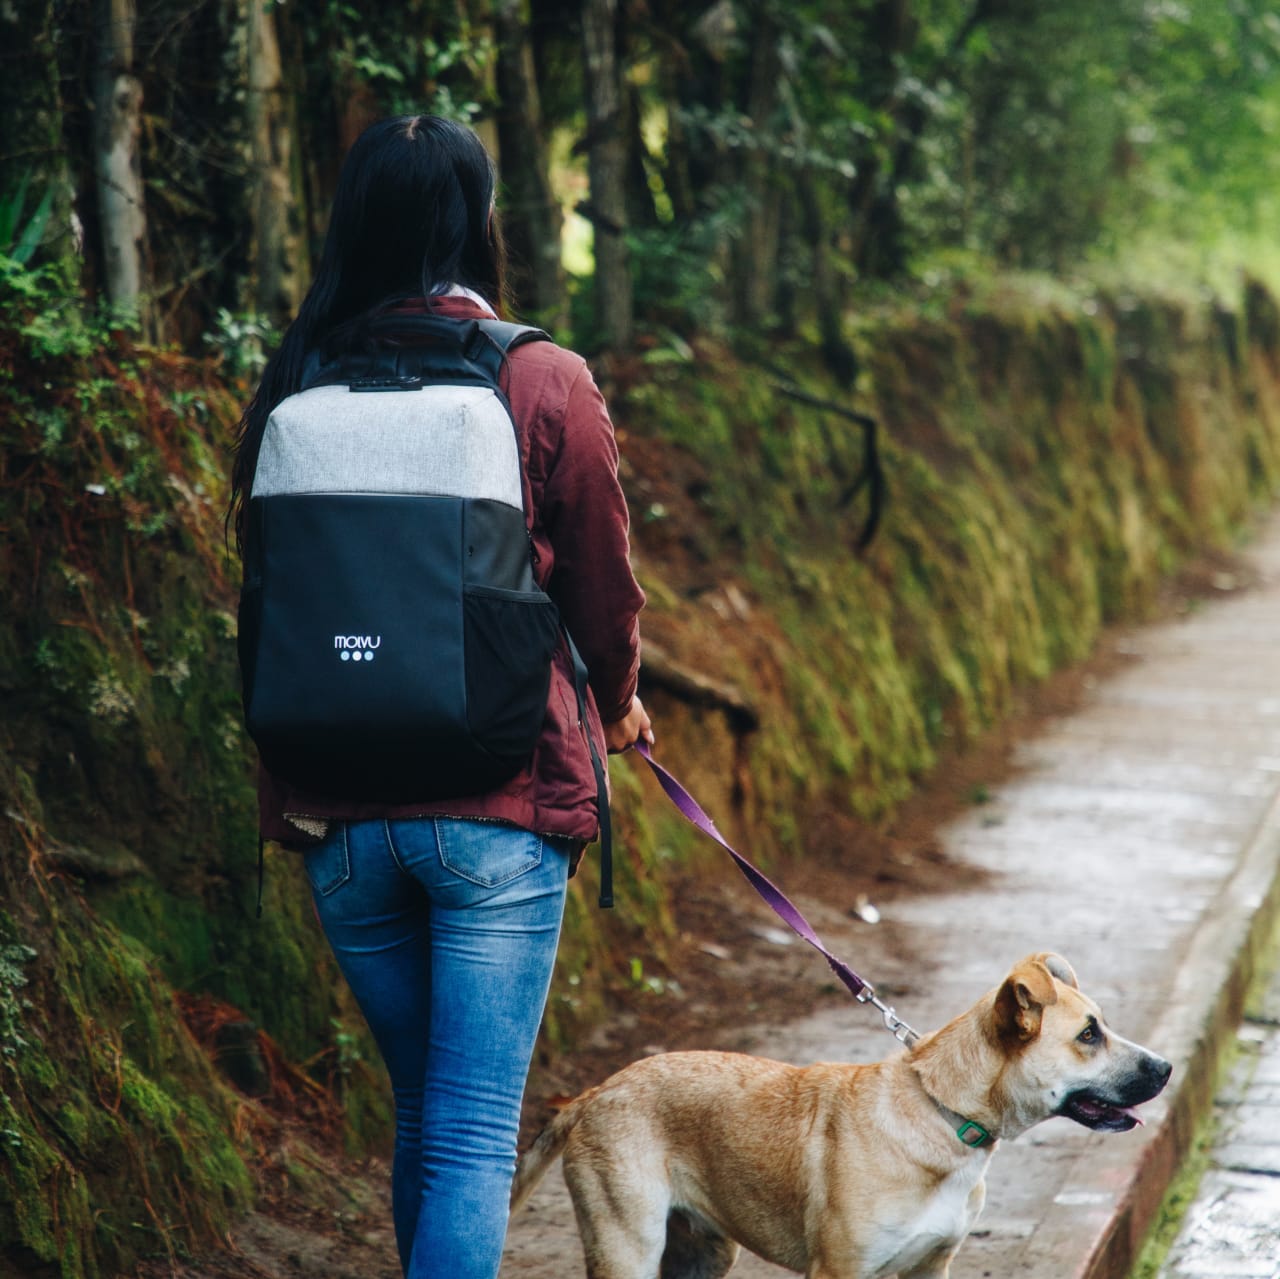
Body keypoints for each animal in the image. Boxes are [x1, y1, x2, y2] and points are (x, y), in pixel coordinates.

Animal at [509, 957, 1172, 1275]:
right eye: (1089, 1035)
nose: (1167, 1068)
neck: (940, 1114)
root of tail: (595, 1093)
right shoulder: (838, 1271)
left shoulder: (931, 1268)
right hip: (628, 1248)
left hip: (702, 1253)